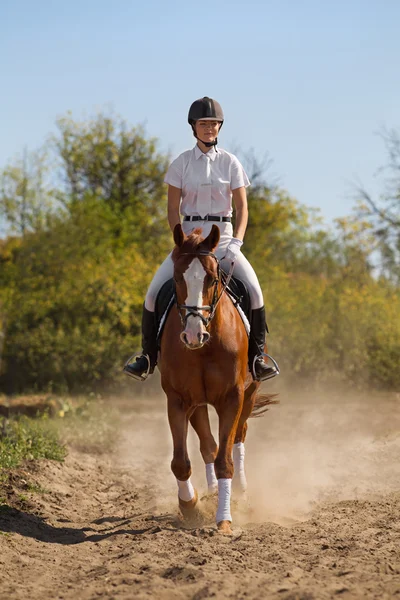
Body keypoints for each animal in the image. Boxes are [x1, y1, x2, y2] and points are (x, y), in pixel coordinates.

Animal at [159, 225, 276, 536]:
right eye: (177, 277)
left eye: (211, 279)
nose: (192, 334)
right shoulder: (178, 400)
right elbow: (181, 461)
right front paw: (190, 507)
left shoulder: (232, 398)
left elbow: (226, 459)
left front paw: (224, 519)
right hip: (198, 403)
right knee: (208, 445)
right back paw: (211, 493)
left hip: (249, 393)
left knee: (238, 438)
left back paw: (241, 495)